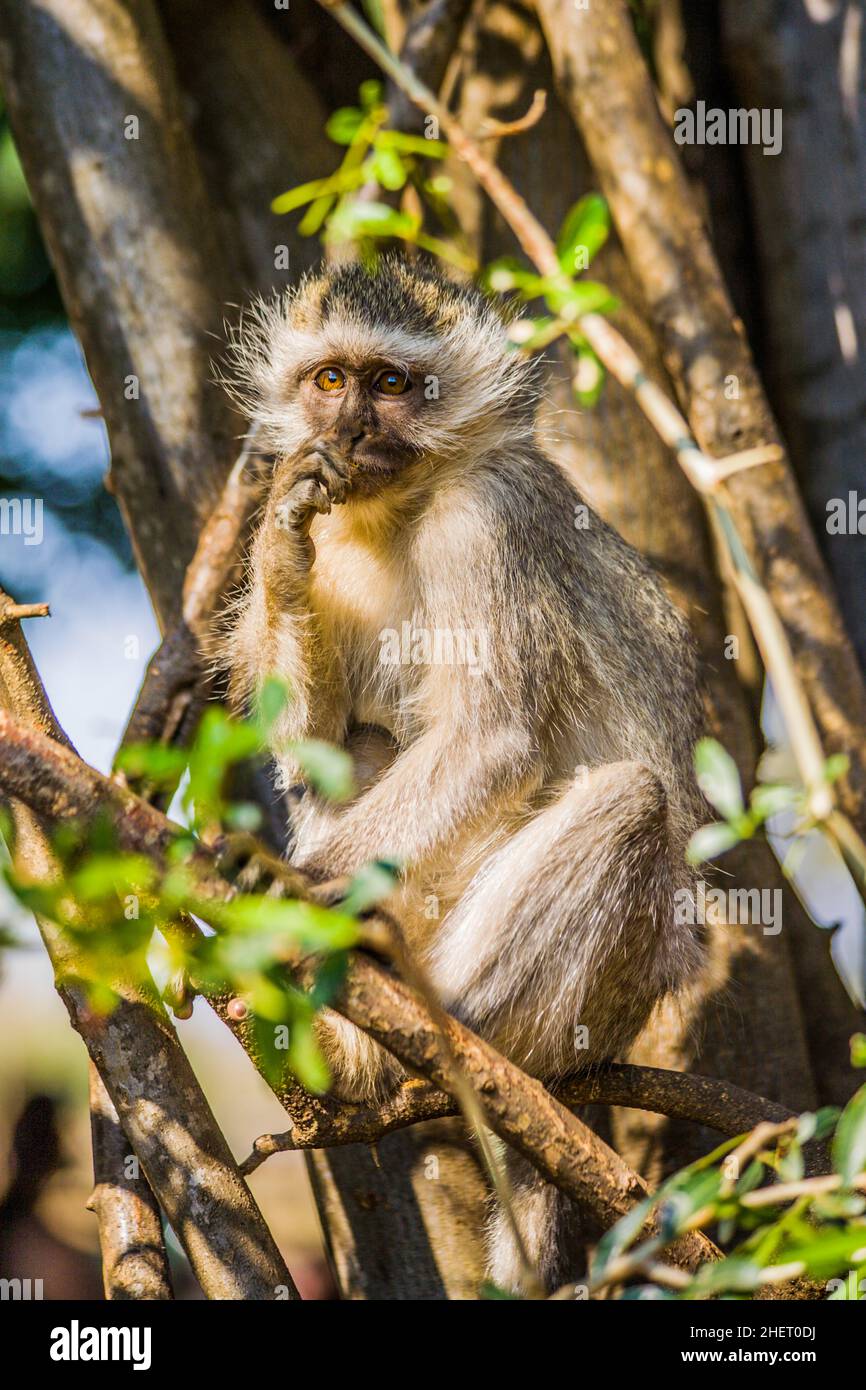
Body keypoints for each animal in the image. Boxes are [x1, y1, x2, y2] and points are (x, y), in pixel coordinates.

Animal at [222, 254, 707, 1293]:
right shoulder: (337, 534)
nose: (349, 431)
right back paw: (351, 1037)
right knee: (364, 743)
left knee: (630, 801)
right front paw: (277, 542)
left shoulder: (489, 521)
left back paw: (446, 1035)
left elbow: (493, 740)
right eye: (330, 380)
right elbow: (315, 740)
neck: (404, 505)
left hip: (615, 984)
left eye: (392, 384)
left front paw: (289, 886)